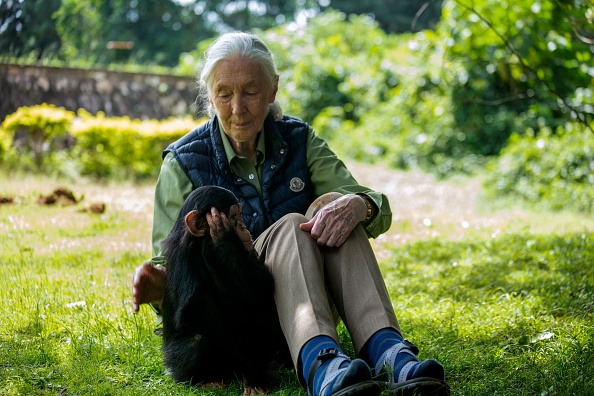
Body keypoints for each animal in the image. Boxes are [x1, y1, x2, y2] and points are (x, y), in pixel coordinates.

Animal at [157, 186, 286, 392]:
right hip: (176, 363)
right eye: (233, 216)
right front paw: (252, 374)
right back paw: (208, 380)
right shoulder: (186, 262)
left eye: (240, 215)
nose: (243, 226)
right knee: (197, 340)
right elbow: (199, 311)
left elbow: (263, 286)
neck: (206, 248)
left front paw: (226, 241)